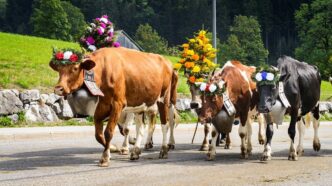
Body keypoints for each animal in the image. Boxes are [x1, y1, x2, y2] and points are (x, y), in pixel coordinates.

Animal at [49, 47, 178, 166]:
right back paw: (136, 151)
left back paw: (164, 149)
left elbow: (109, 132)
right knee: (141, 127)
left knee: (166, 124)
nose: (58, 88)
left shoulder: (118, 104)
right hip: (140, 103)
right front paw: (113, 148)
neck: (102, 71)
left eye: (75, 68)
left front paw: (105, 157)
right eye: (59, 69)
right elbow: (98, 135)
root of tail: (166, 61)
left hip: (165, 99)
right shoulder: (101, 106)